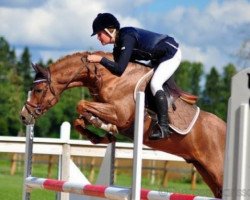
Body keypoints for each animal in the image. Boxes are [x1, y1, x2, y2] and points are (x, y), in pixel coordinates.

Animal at [20, 51, 226, 197]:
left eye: (38, 90)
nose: (23, 116)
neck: (111, 77)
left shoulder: (119, 113)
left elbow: (81, 104)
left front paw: (103, 128)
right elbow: (80, 117)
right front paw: (100, 133)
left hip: (217, 170)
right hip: (204, 170)